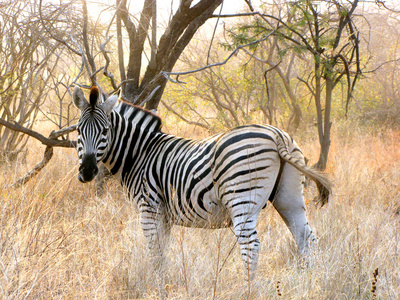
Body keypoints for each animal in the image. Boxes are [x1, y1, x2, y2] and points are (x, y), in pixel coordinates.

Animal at [72, 85, 332, 280]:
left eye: (105, 130)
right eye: (78, 130)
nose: (87, 171)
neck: (139, 153)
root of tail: (276, 134)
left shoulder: (149, 207)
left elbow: (154, 251)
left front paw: (155, 284)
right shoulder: (164, 215)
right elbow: (162, 251)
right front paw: (163, 281)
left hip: (242, 198)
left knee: (251, 245)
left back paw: (249, 288)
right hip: (289, 196)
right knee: (306, 239)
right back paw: (313, 281)